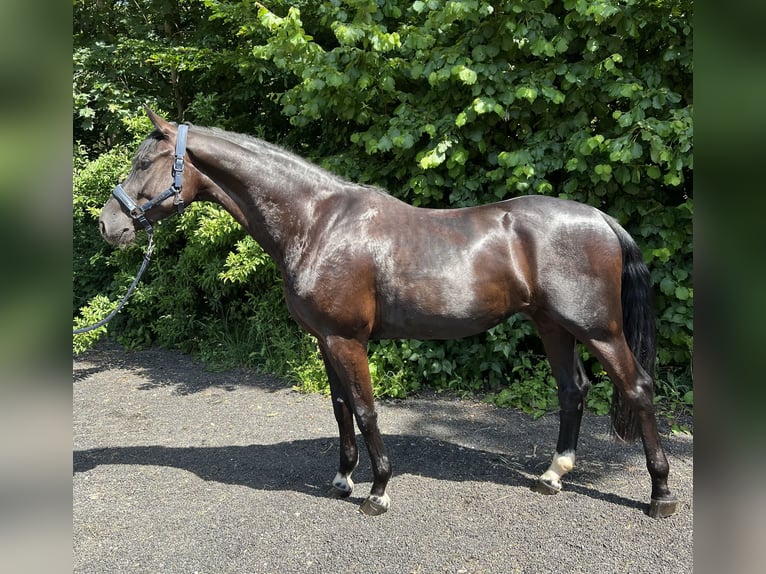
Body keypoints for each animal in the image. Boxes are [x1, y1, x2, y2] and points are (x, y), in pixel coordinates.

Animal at [97, 108, 680, 518]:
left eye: (144, 163)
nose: (109, 226)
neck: (317, 223)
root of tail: (601, 218)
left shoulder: (347, 338)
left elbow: (366, 410)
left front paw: (377, 491)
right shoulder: (324, 339)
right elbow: (339, 408)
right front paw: (343, 479)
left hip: (598, 330)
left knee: (637, 388)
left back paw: (660, 494)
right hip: (552, 325)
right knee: (572, 390)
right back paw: (554, 474)